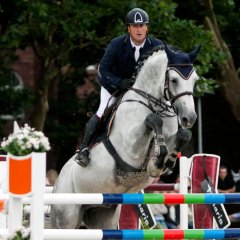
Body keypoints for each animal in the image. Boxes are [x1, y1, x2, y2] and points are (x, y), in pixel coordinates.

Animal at [50, 43, 201, 229]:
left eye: (195, 80)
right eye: (174, 80)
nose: (189, 118)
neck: (154, 104)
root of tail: (57, 182)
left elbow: (184, 134)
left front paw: (167, 162)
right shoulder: (131, 148)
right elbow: (152, 120)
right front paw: (157, 162)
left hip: (102, 216)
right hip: (65, 217)